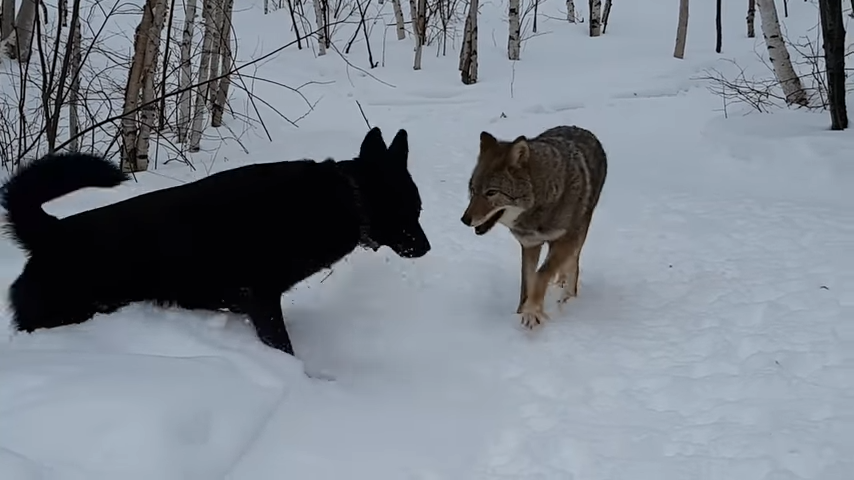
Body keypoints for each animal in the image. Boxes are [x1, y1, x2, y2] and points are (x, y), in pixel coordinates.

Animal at [0, 126, 428, 356]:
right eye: (410, 209)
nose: (426, 248)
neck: (343, 197)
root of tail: (52, 232)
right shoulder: (260, 296)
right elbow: (281, 343)